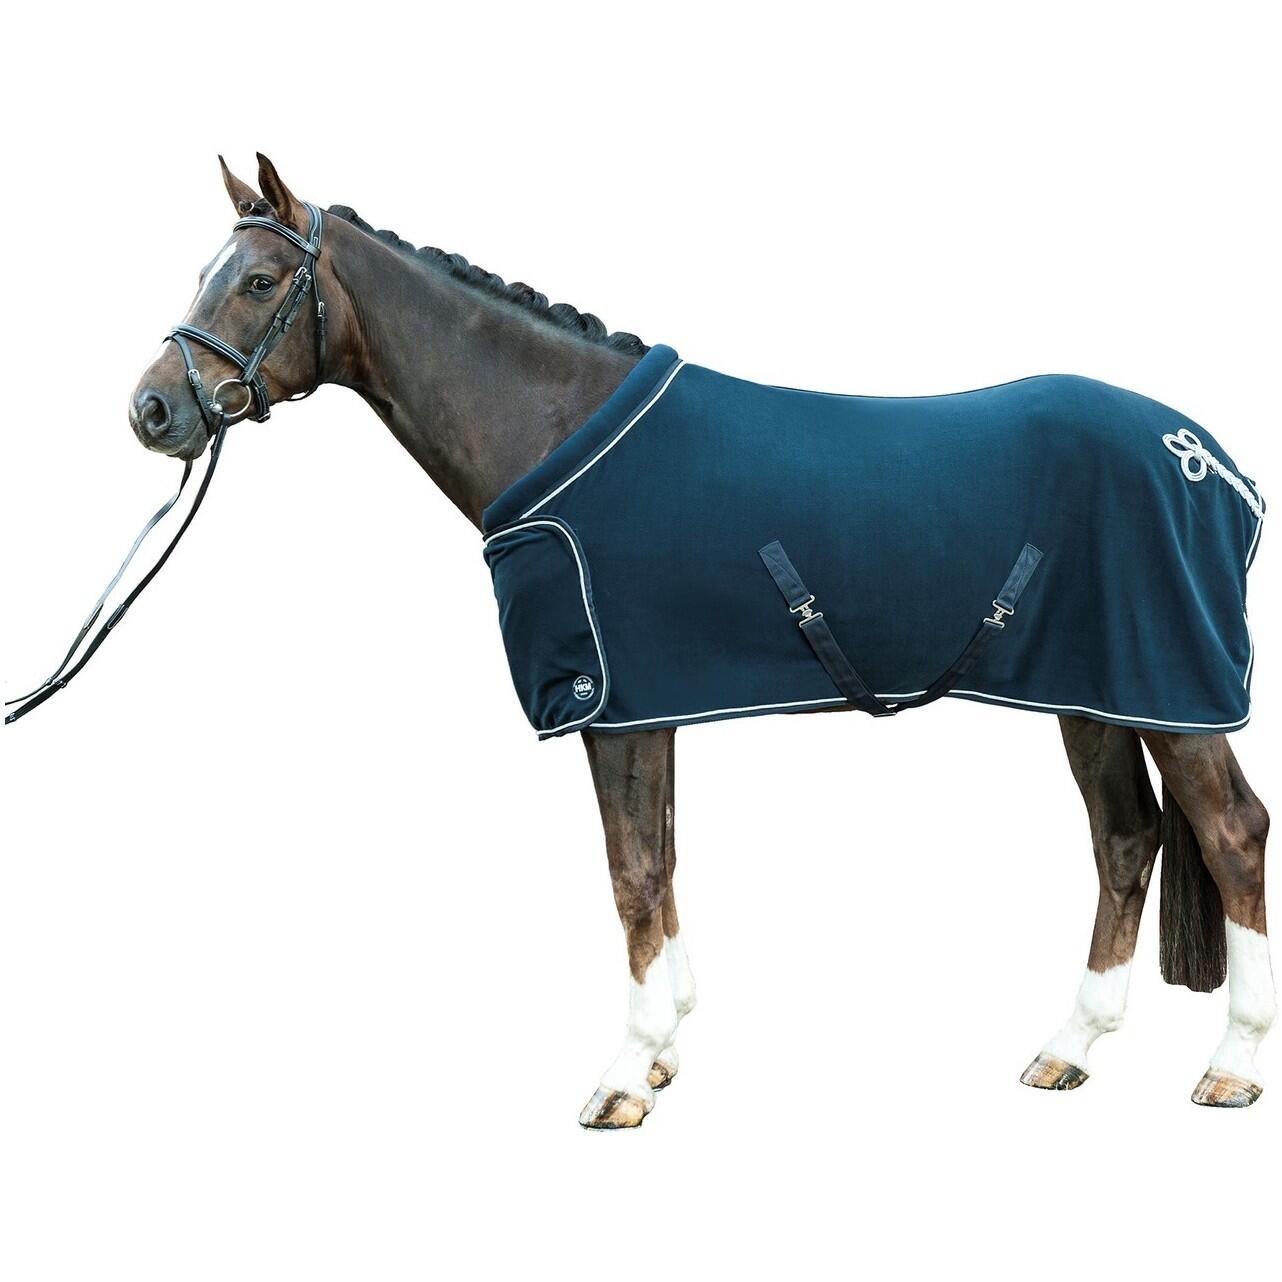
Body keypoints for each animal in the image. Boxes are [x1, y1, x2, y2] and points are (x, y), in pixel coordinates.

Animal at [121, 154, 1272, 1127]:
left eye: (259, 281)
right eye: (205, 272)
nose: (153, 410)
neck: (557, 431)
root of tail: (1207, 459)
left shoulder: (609, 704)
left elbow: (631, 871)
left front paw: (625, 1077)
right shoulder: (651, 702)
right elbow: (662, 861)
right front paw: (666, 1046)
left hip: (1173, 694)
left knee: (1231, 832)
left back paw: (1231, 1066)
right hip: (1096, 694)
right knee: (1125, 840)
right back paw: (1069, 1046)